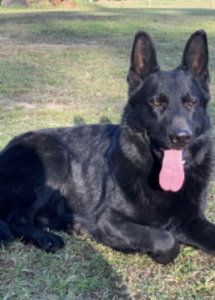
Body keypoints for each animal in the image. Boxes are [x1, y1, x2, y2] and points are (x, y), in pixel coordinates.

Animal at [0, 29, 213, 264]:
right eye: (156, 103)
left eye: (191, 103)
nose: (181, 137)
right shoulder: (109, 220)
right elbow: (167, 241)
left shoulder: (192, 220)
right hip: (55, 157)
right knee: (17, 220)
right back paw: (48, 238)